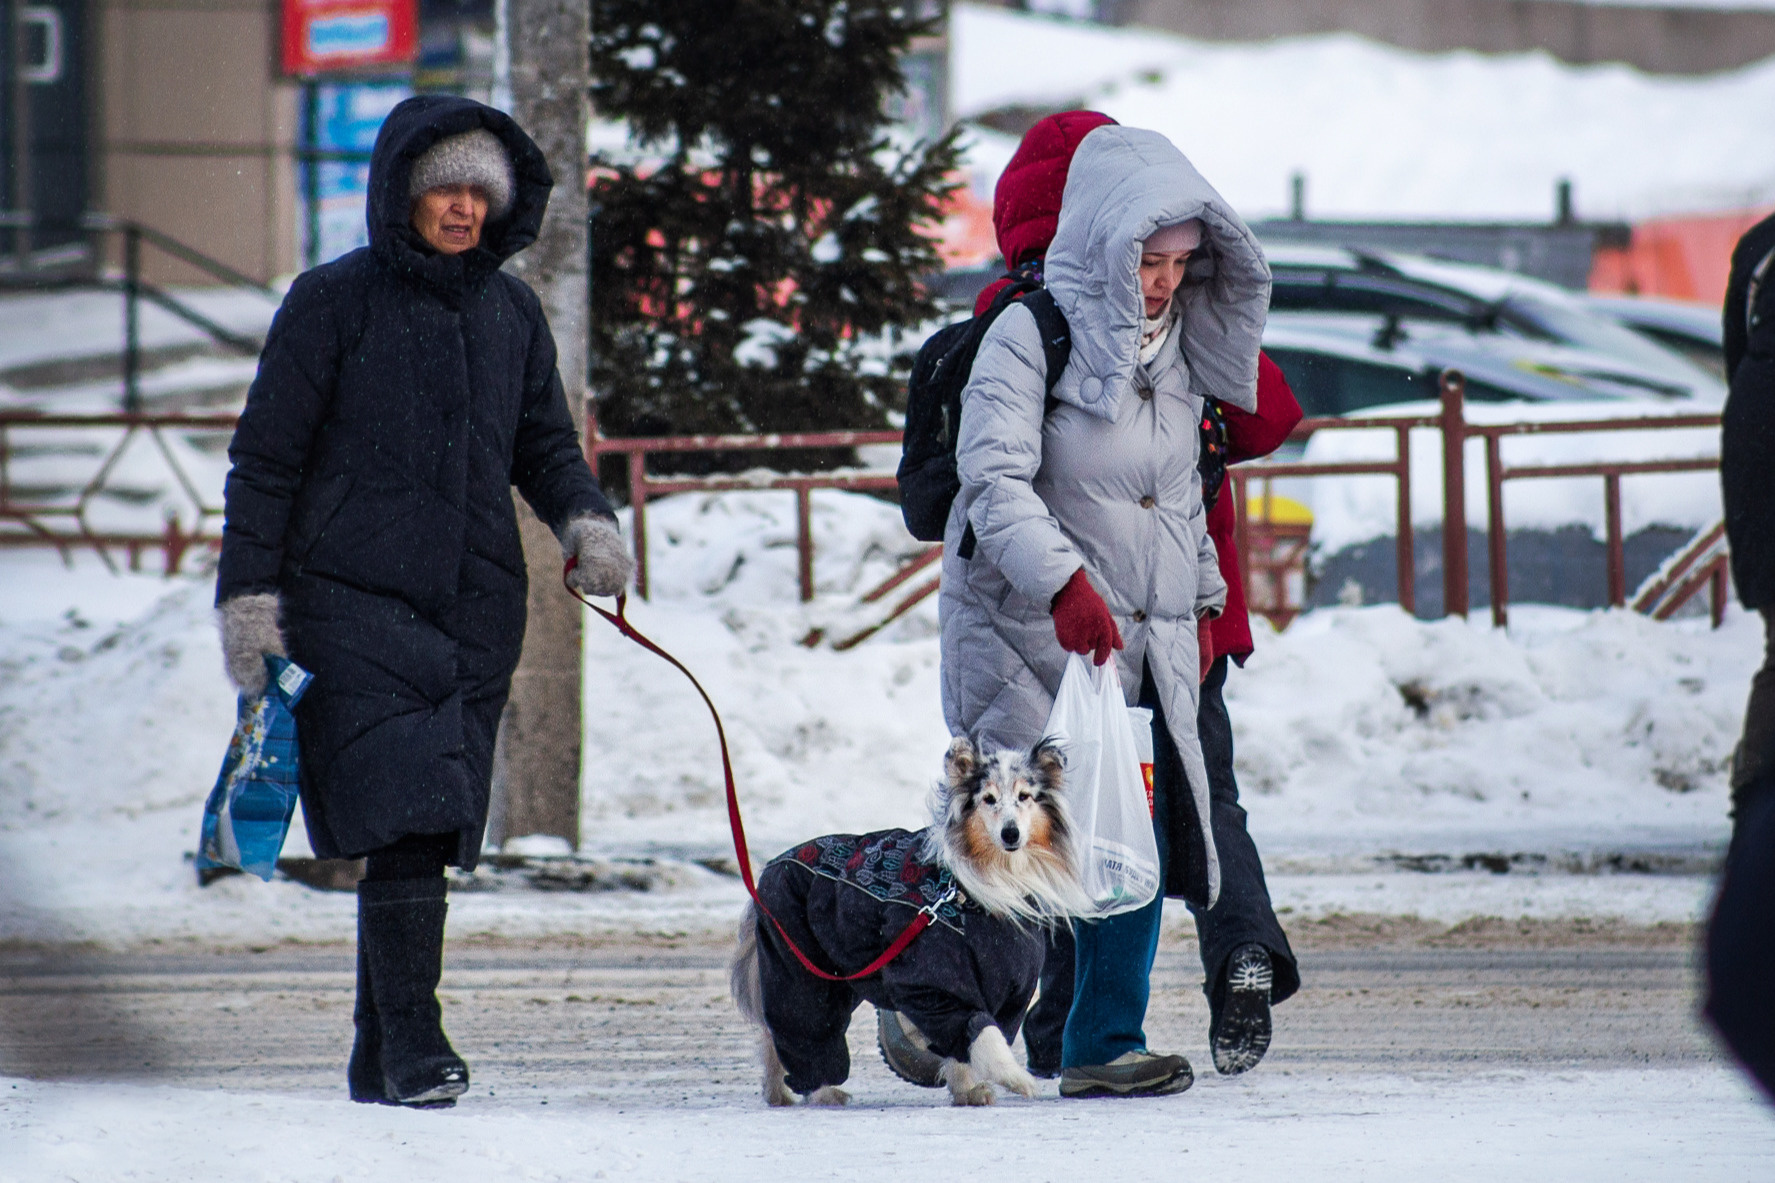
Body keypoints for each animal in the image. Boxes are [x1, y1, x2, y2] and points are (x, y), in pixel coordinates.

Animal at [727, 731, 1086, 1101]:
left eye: (1024, 796)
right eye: (988, 799)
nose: (1010, 834)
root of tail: (770, 867)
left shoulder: (1008, 988)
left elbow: (971, 1040)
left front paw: (968, 1090)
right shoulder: (933, 980)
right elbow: (984, 1034)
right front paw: (1016, 1078)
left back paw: (780, 1092)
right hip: (798, 967)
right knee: (799, 1027)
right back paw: (818, 1092)